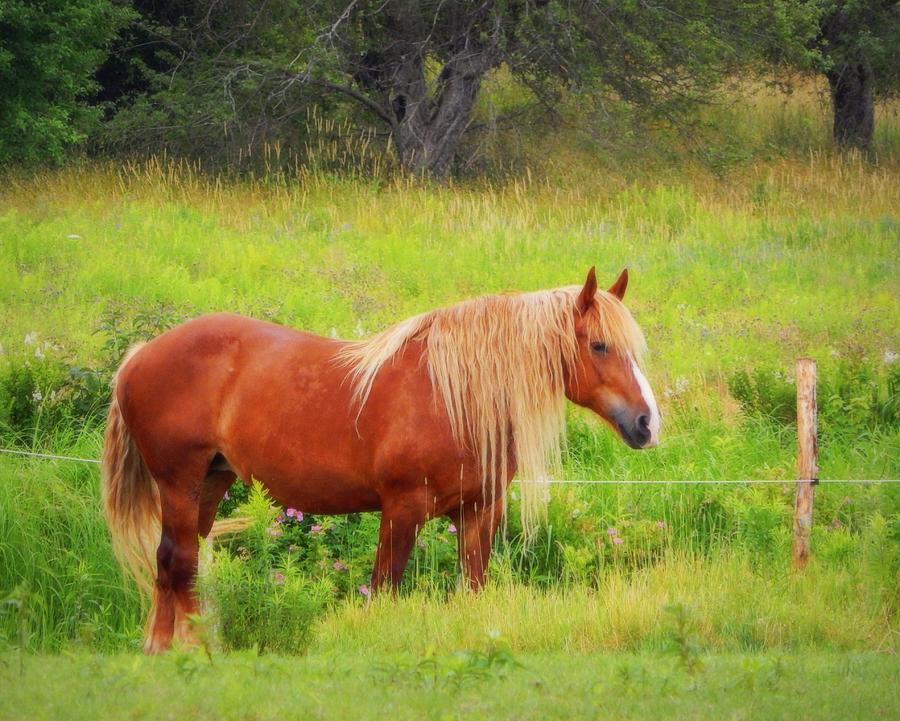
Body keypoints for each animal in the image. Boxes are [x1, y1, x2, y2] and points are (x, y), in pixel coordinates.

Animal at [103, 268, 660, 652]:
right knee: (176, 561)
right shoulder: (401, 511)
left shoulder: (479, 513)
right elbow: (386, 588)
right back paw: (179, 649)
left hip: (211, 483)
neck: (450, 395)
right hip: (179, 483)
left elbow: (472, 588)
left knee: (180, 563)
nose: (647, 423)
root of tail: (140, 354)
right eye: (599, 345)